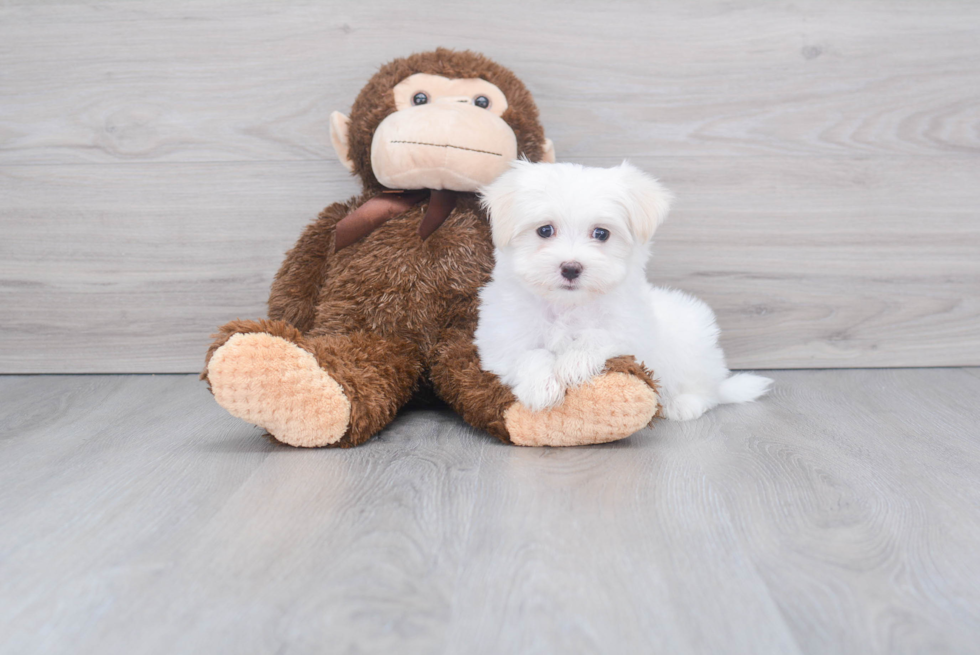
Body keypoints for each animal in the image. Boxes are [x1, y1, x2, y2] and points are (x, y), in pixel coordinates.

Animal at [474, 161, 772, 422]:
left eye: (601, 234)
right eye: (545, 230)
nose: (571, 268)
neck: (568, 304)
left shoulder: (632, 331)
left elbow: (601, 334)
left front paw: (574, 361)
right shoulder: (500, 339)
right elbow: (528, 354)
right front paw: (541, 386)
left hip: (692, 344)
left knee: (706, 390)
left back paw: (683, 404)